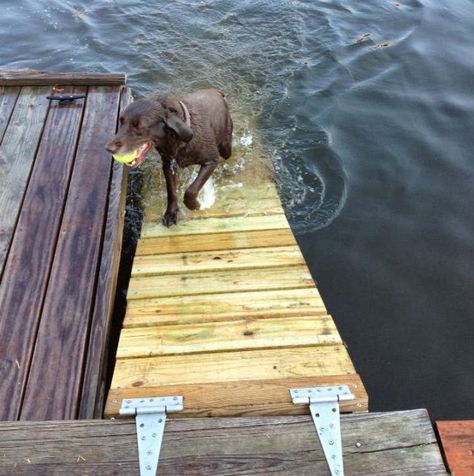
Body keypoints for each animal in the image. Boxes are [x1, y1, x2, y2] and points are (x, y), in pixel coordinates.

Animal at [107, 89, 233, 227]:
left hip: (225, 146)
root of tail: (216, 91)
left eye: (139, 126)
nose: (109, 148)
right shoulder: (168, 164)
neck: (179, 141)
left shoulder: (211, 161)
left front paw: (195, 205)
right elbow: (171, 191)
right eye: (121, 122)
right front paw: (171, 214)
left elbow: (191, 191)